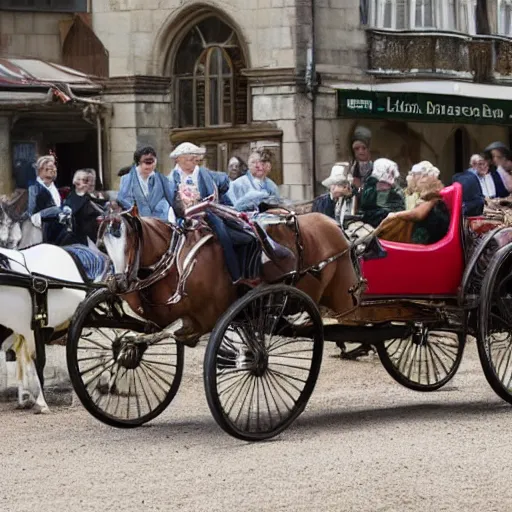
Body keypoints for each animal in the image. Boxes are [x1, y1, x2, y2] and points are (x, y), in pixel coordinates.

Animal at [98, 206, 358, 346]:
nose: (118, 283)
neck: (180, 262)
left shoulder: (207, 318)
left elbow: (172, 329)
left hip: (344, 296)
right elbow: (159, 328)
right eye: (103, 245)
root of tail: (334, 224)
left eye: (130, 242)